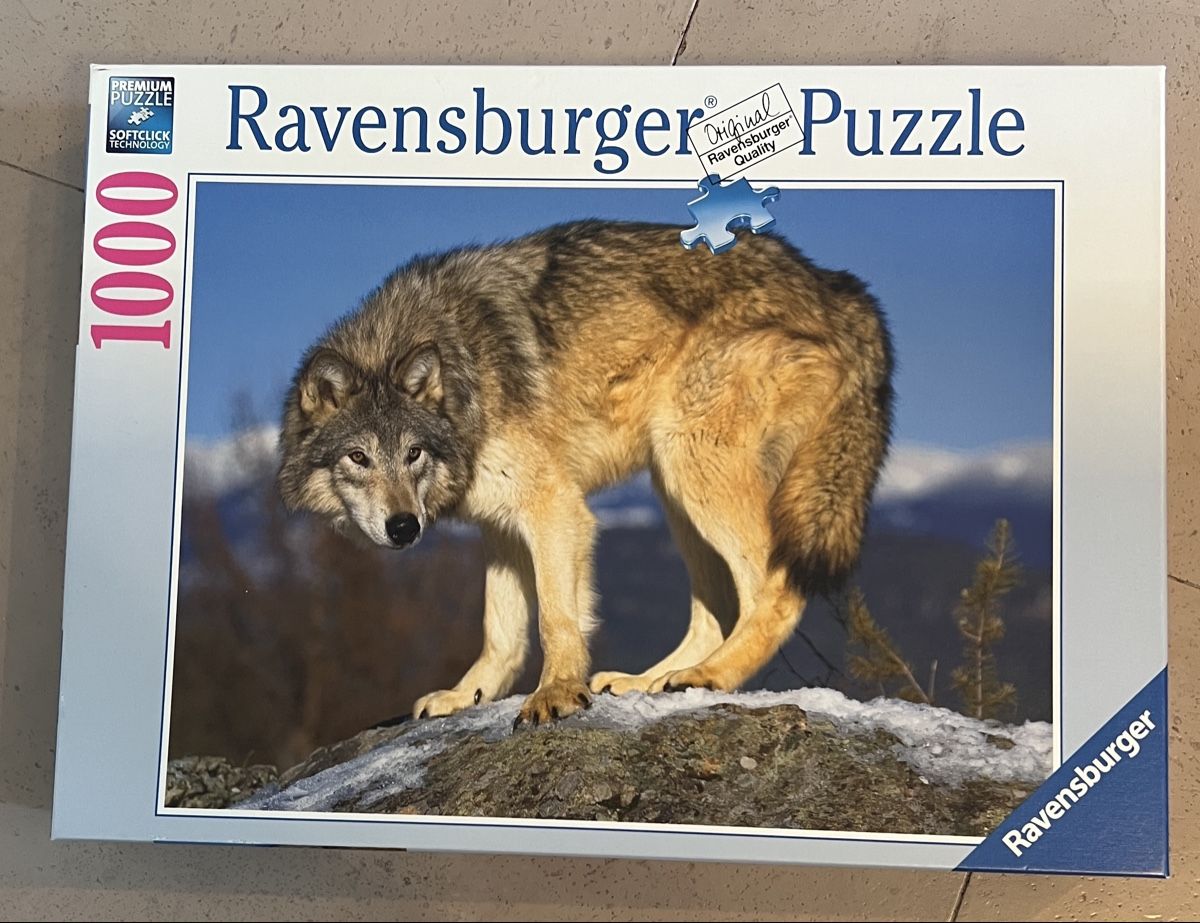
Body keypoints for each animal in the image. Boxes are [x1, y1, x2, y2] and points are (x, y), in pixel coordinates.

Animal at [278, 220, 893, 727]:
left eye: (413, 454)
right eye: (358, 458)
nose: (404, 527)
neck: (463, 372)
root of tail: (836, 286)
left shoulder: (554, 507)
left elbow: (555, 617)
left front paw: (556, 693)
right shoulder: (501, 526)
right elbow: (501, 631)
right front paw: (467, 695)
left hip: (692, 463)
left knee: (773, 587)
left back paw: (710, 675)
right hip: (674, 487)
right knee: (716, 611)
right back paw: (650, 681)